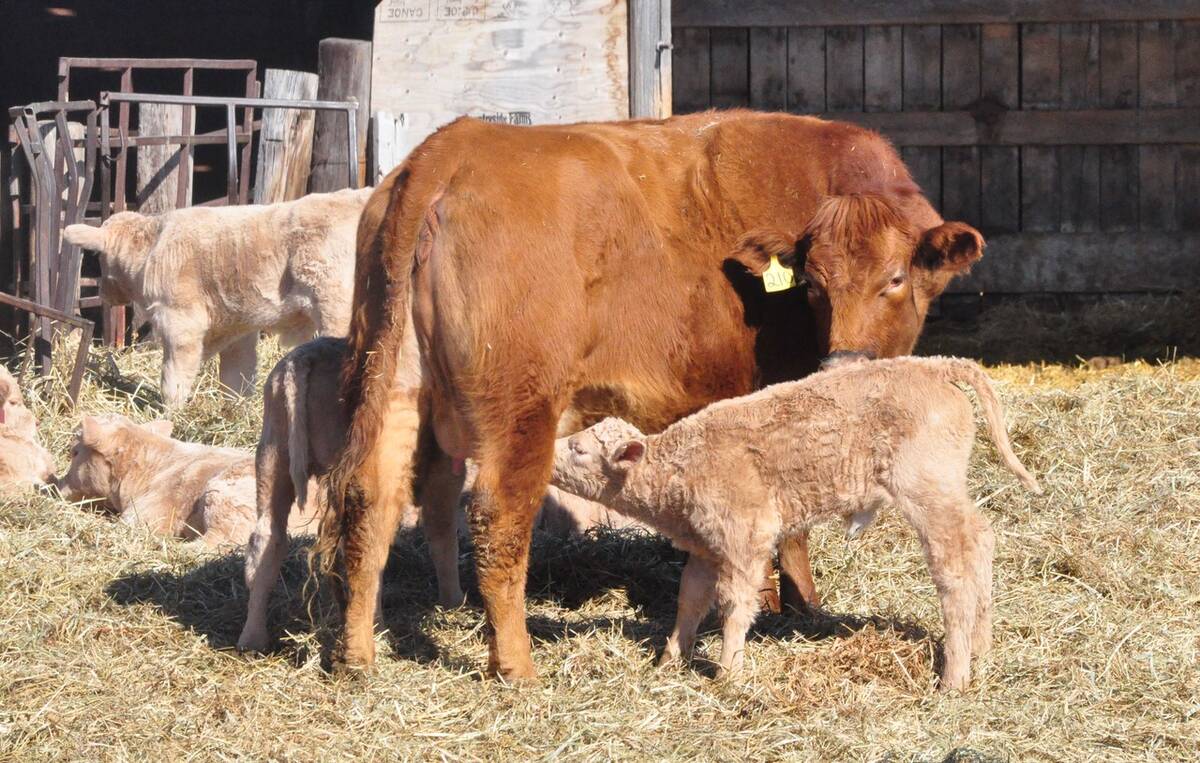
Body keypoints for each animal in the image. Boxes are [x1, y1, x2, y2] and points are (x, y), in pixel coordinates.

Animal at [62, 187, 373, 406]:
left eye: (98, 259)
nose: (103, 293)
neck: (151, 247)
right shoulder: (238, 324)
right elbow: (237, 376)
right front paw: (233, 410)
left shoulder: (181, 321)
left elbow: (174, 376)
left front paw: (171, 411)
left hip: (336, 309)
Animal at [321, 110, 985, 680]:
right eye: (815, 286)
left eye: (894, 279)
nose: (839, 364)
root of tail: (454, 146)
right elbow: (786, 523)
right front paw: (789, 603)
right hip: (521, 408)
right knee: (497, 515)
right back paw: (516, 665)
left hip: (397, 386)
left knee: (370, 499)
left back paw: (357, 655)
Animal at [550, 357, 1042, 690]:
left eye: (578, 448)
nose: (547, 457)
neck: (681, 466)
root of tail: (932, 365)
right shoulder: (707, 547)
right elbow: (690, 600)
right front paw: (669, 662)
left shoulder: (746, 538)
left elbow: (736, 604)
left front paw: (728, 673)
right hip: (946, 488)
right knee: (981, 539)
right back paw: (982, 651)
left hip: (926, 490)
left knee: (954, 563)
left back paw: (954, 676)